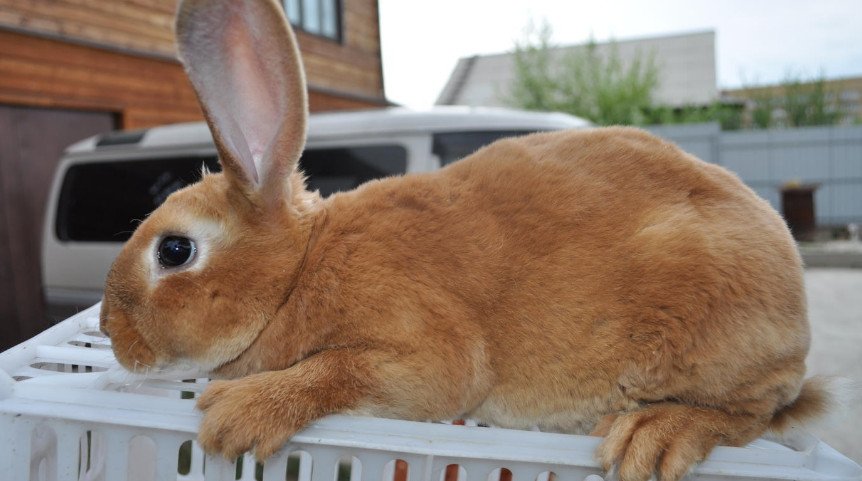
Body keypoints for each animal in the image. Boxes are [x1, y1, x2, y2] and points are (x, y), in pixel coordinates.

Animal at [99, 0, 832, 480]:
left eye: (174, 251)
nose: (109, 329)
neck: (299, 269)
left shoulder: (424, 350)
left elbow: (342, 370)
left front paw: (236, 417)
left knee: (753, 413)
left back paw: (654, 436)